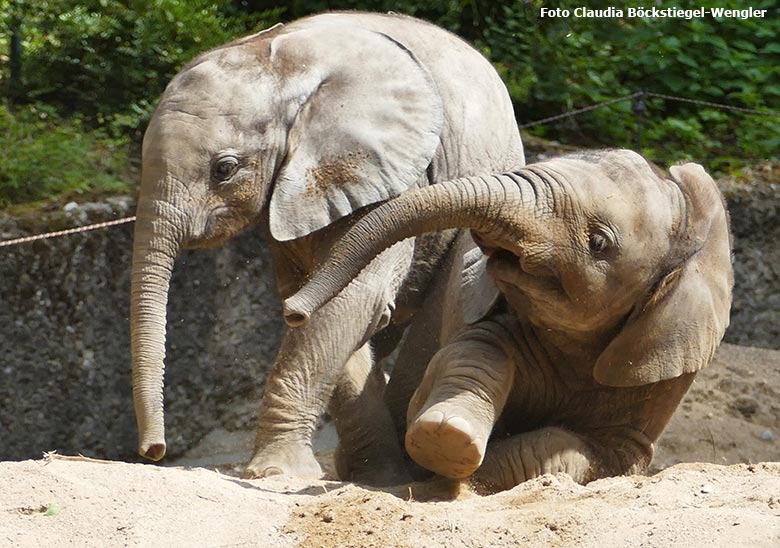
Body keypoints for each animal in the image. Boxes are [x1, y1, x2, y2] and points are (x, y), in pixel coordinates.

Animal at [284, 151, 736, 492]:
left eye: (599, 242)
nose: (293, 311)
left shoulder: (659, 369)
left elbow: (595, 452)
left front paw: (459, 470)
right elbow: (478, 350)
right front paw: (443, 440)